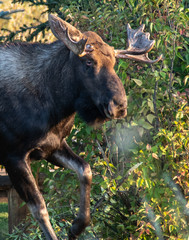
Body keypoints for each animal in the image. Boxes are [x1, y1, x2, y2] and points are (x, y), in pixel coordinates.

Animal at [0, 14, 162, 239]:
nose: (120, 105)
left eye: (114, 62)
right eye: (88, 61)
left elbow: (86, 170)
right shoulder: (13, 155)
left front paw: (76, 226)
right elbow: (40, 209)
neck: (55, 106)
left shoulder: (53, 145)